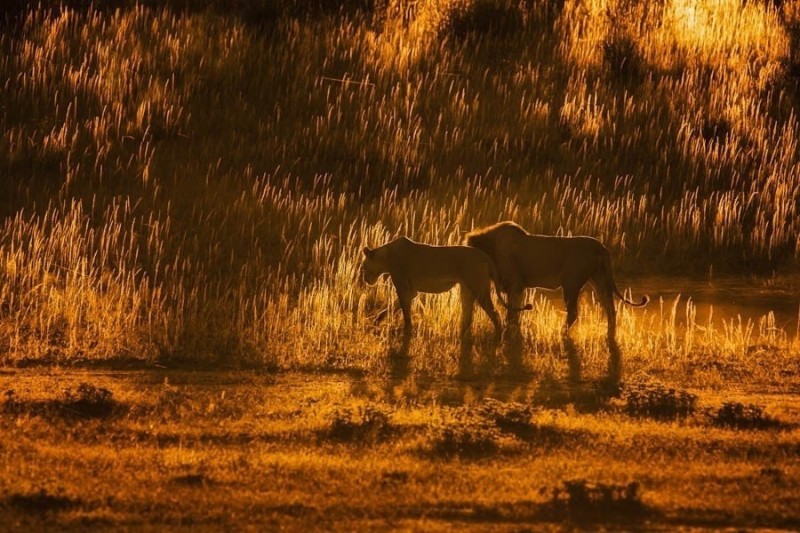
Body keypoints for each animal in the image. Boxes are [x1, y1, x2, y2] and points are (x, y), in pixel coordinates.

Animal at [362, 236, 532, 340]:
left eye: (363, 267)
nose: (365, 279)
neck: (385, 257)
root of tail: (483, 254)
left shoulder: (403, 286)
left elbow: (404, 311)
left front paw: (407, 331)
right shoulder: (411, 291)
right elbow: (393, 306)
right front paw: (376, 320)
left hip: (479, 289)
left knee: (494, 313)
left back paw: (497, 336)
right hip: (467, 290)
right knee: (468, 315)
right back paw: (462, 335)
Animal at [466, 221, 648, 340]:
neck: (491, 246)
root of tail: (600, 246)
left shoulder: (515, 284)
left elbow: (512, 312)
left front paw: (509, 331)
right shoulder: (518, 287)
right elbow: (515, 310)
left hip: (571, 283)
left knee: (574, 313)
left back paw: (561, 334)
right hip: (599, 281)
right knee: (611, 309)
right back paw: (610, 335)